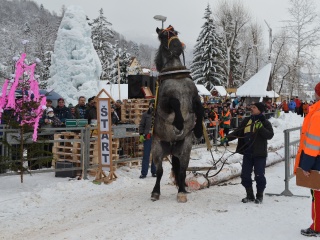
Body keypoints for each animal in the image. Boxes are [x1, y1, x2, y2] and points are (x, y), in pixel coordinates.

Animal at [152, 25, 202, 202]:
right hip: (157, 149)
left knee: (181, 171)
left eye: (175, 33)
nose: (177, 46)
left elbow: (200, 107)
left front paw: (198, 129)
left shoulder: (194, 97)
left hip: (185, 149)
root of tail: (172, 146)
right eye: (163, 36)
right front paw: (179, 123)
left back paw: (181, 191)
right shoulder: (164, 104)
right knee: (159, 172)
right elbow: (175, 102)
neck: (175, 75)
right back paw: (155, 192)